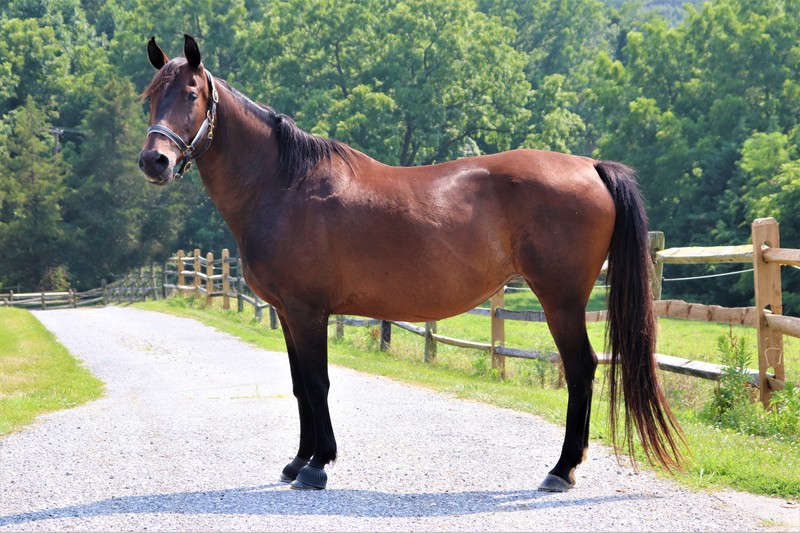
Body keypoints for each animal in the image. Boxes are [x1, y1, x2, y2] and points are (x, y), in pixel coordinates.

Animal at [139, 33, 688, 490]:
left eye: (191, 95)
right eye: (149, 97)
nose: (154, 161)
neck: (283, 186)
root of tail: (591, 167)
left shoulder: (308, 311)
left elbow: (318, 383)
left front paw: (318, 465)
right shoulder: (288, 314)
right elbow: (299, 387)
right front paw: (297, 462)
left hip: (562, 300)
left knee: (581, 369)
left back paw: (562, 470)